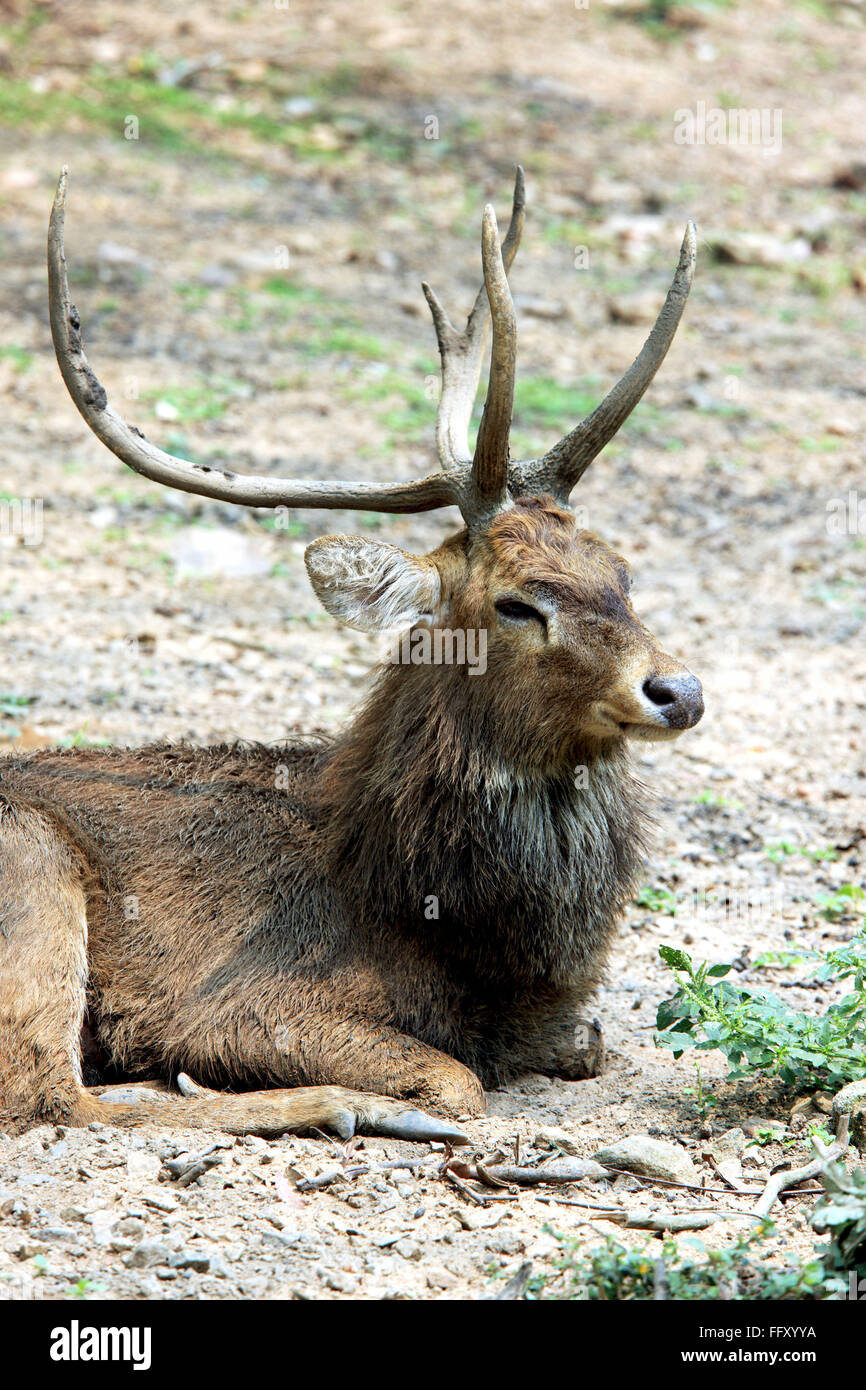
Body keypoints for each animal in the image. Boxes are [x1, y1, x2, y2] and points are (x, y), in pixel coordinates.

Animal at [0, 168, 706, 1145]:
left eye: (622, 572)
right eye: (516, 603)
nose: (677, 689)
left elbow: (587, 1043)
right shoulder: (242, 1001)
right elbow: (459, 1078)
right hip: (30, 865)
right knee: (50, 1094)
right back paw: (328, 1104)